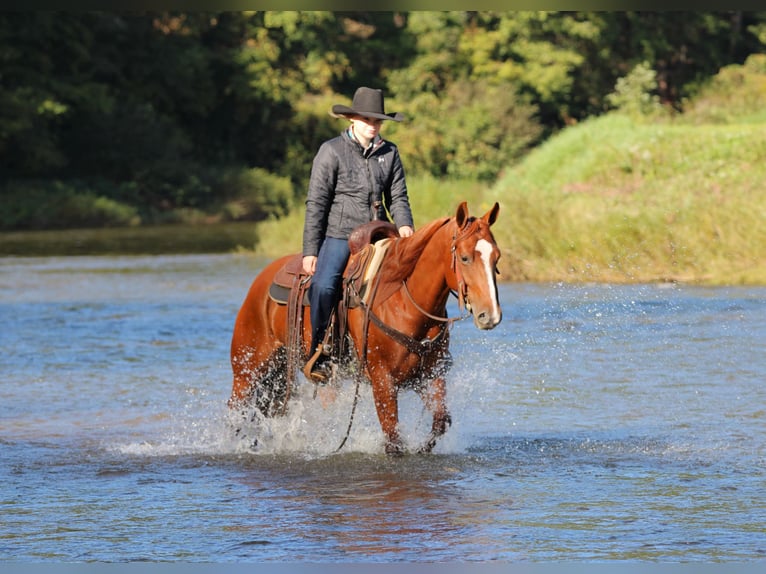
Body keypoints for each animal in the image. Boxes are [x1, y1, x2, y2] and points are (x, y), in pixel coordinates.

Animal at [229, 201, 502, 454]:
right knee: (235, 412)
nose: (490, 315)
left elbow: (440, 422)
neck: (402, 299)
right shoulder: (383, 380)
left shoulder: (430, 376)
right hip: (247, 372)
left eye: (496, 257)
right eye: (464, 257)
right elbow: (392, 439)